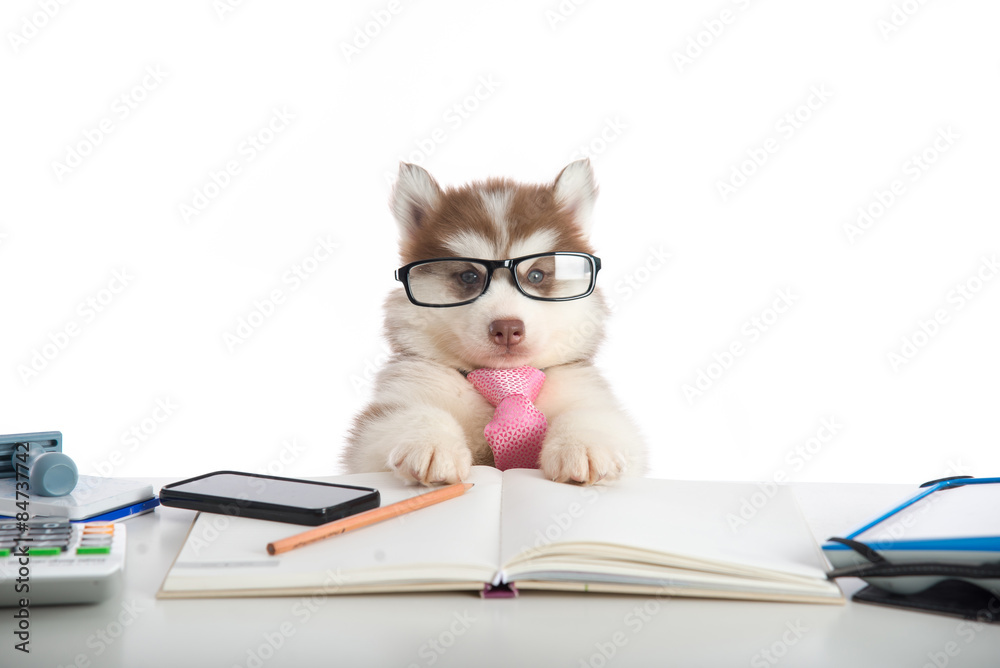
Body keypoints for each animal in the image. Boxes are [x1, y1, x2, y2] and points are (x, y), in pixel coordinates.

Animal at [344, 162, 648, 486]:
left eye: (536, 275)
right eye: (469, 276)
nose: (507, 329)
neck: (504, 386)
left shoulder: (586, 391)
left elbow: (592, 414)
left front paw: (584, 444)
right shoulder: (385, 416)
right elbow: (408, 414)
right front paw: (429, 444)